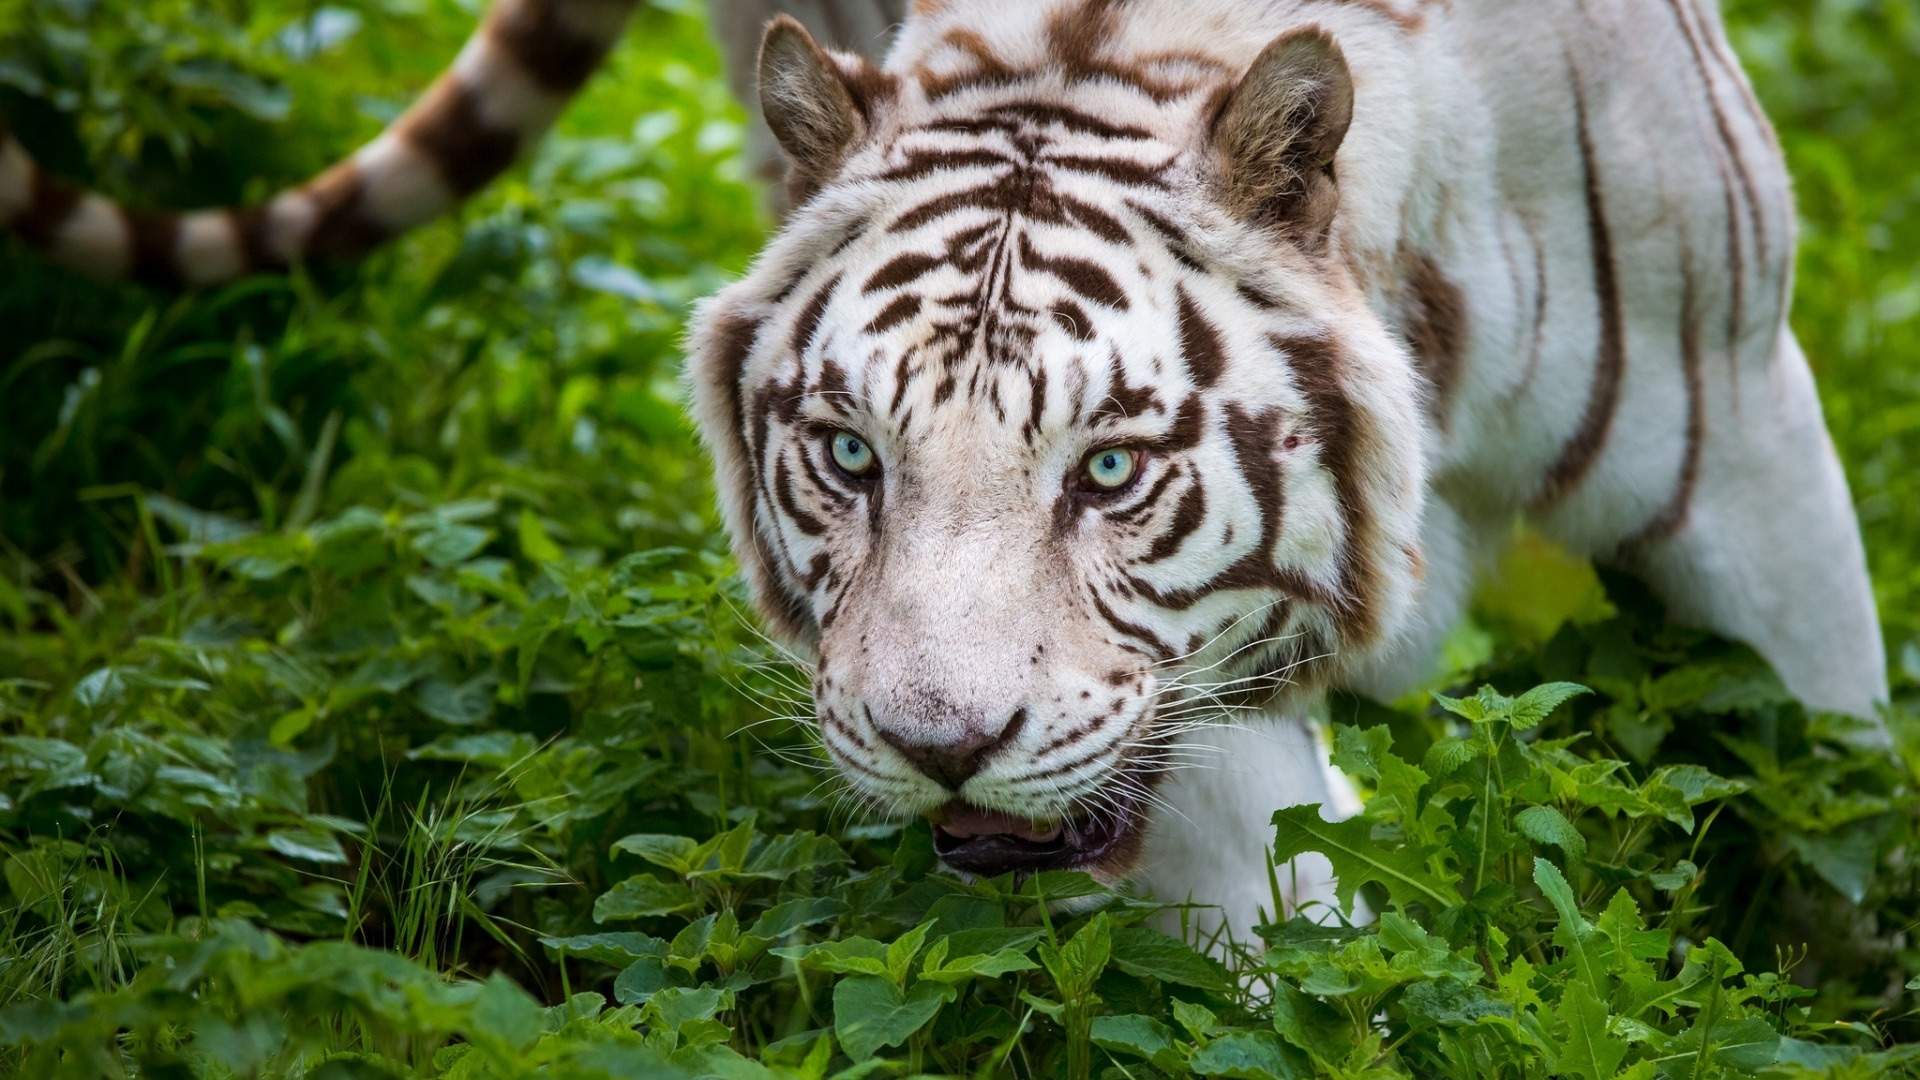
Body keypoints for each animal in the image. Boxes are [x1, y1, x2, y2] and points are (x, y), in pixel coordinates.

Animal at [0, 0, 1888, 947]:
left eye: (1111, 470)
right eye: (849, 453)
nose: (937, 749)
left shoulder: (1751, 440)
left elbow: (1839, 806)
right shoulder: (1173, 724)